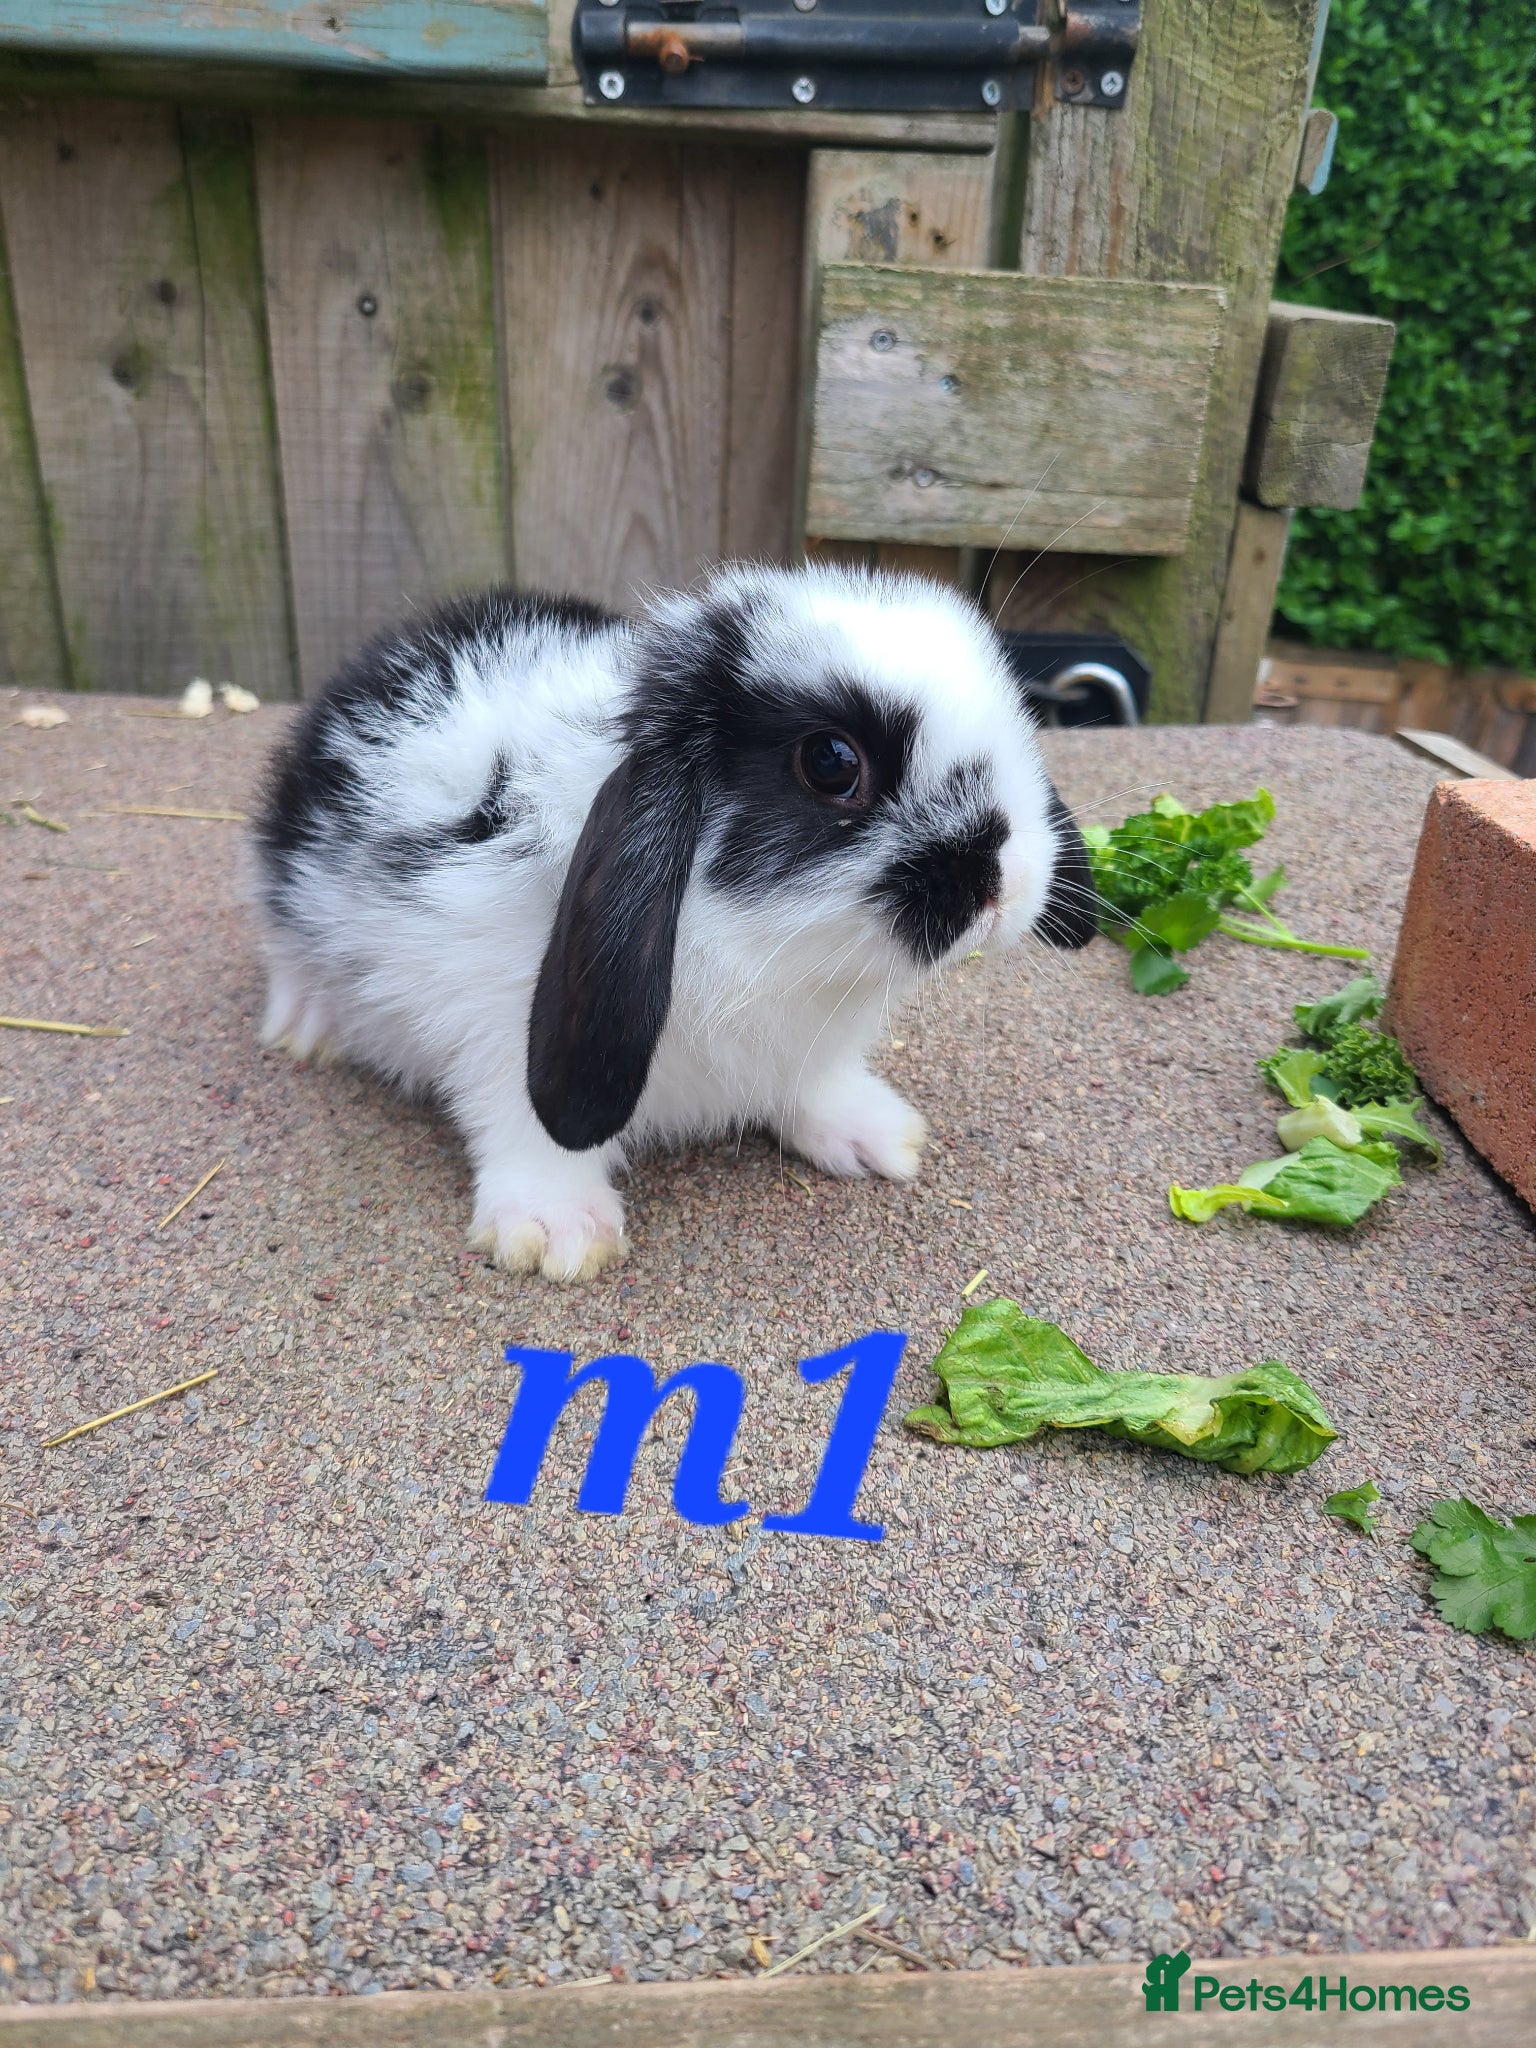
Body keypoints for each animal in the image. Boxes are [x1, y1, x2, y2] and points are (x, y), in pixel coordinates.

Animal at [252, 562, 1098, 1280]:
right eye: (831, 763)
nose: (1005, 884)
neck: (769, 953)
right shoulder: (499, 1029)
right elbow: (527, 1124)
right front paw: (557, 1234)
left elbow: (815, 1087)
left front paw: (877, 1137)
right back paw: (305, 1025)